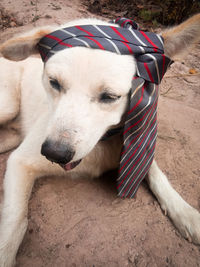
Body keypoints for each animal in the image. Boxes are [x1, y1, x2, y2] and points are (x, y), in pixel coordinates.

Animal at [0, 15, 199, 267]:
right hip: (7, 107)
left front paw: (186, 213)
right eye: (54, 82)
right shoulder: (21, 161)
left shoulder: (138, 143)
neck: (105, 142)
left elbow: (155, 172)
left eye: (110, 97)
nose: (54, 153)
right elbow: (15, 221)